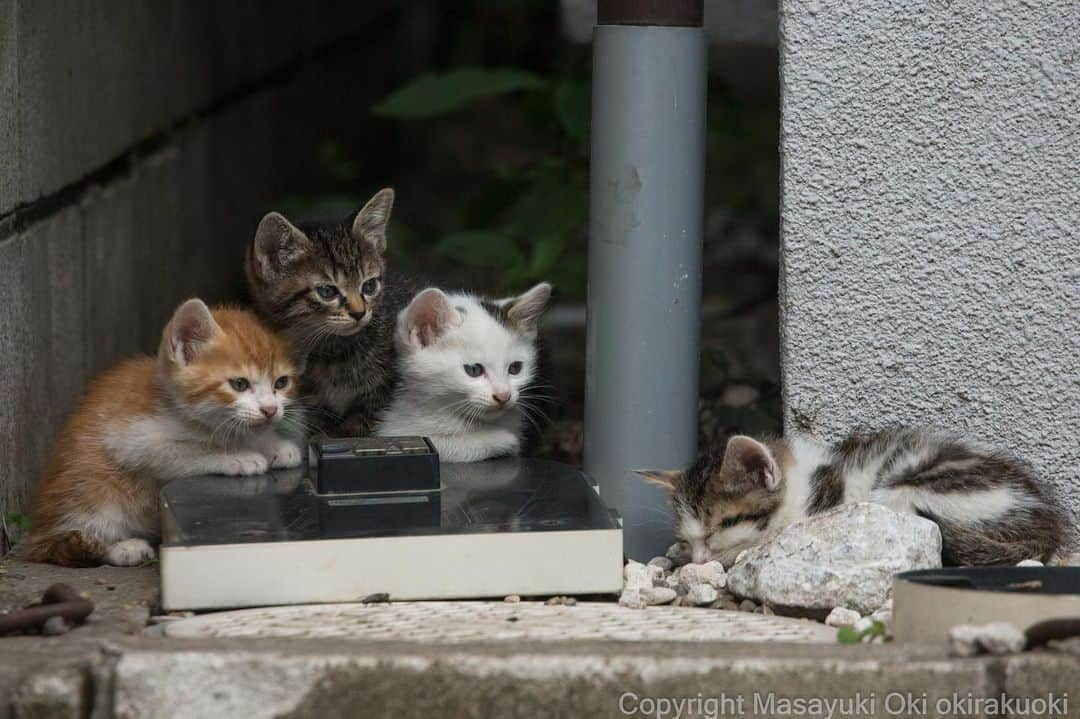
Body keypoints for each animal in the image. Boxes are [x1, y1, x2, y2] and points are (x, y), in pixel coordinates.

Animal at [23, 295, 302, 565]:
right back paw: (123, 548)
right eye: (239, 384)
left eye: (281, 383)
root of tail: (38, 530)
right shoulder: (131, 438)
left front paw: (274, 445)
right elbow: (187, 451)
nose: (270, 409)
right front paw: (237, 456)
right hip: (92, 492)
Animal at [378, 280, 548, 459]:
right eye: (474, 370)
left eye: (515, 368)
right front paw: (504, 439)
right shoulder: (396, 430)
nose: (503, 396)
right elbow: (441, 444)